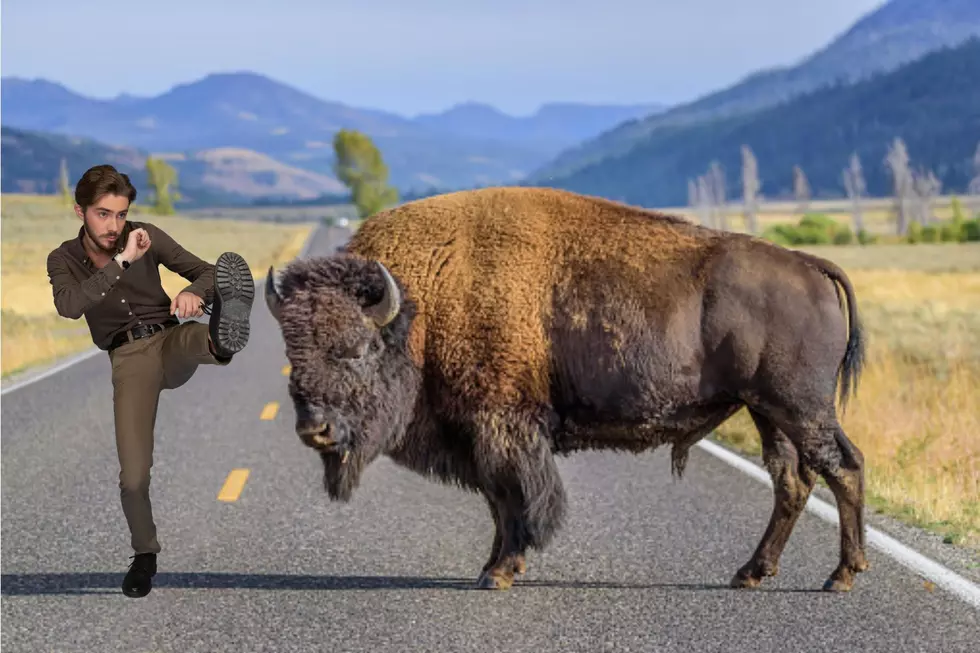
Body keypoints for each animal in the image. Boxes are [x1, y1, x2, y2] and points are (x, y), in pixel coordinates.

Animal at [264, 185, 868, 592]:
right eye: (293, 353)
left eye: (356, 349)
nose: (314, 429)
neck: (423, 300)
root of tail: (809, 265)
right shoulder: (482, 434)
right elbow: (499, 501)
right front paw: (494, 567)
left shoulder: (502, 425)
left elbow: (517, 497)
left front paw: (500, 572)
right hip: (768, 411)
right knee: (792, 480)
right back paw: (751, 573)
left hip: (799, 408)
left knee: (842, 467)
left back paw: (841, 575)